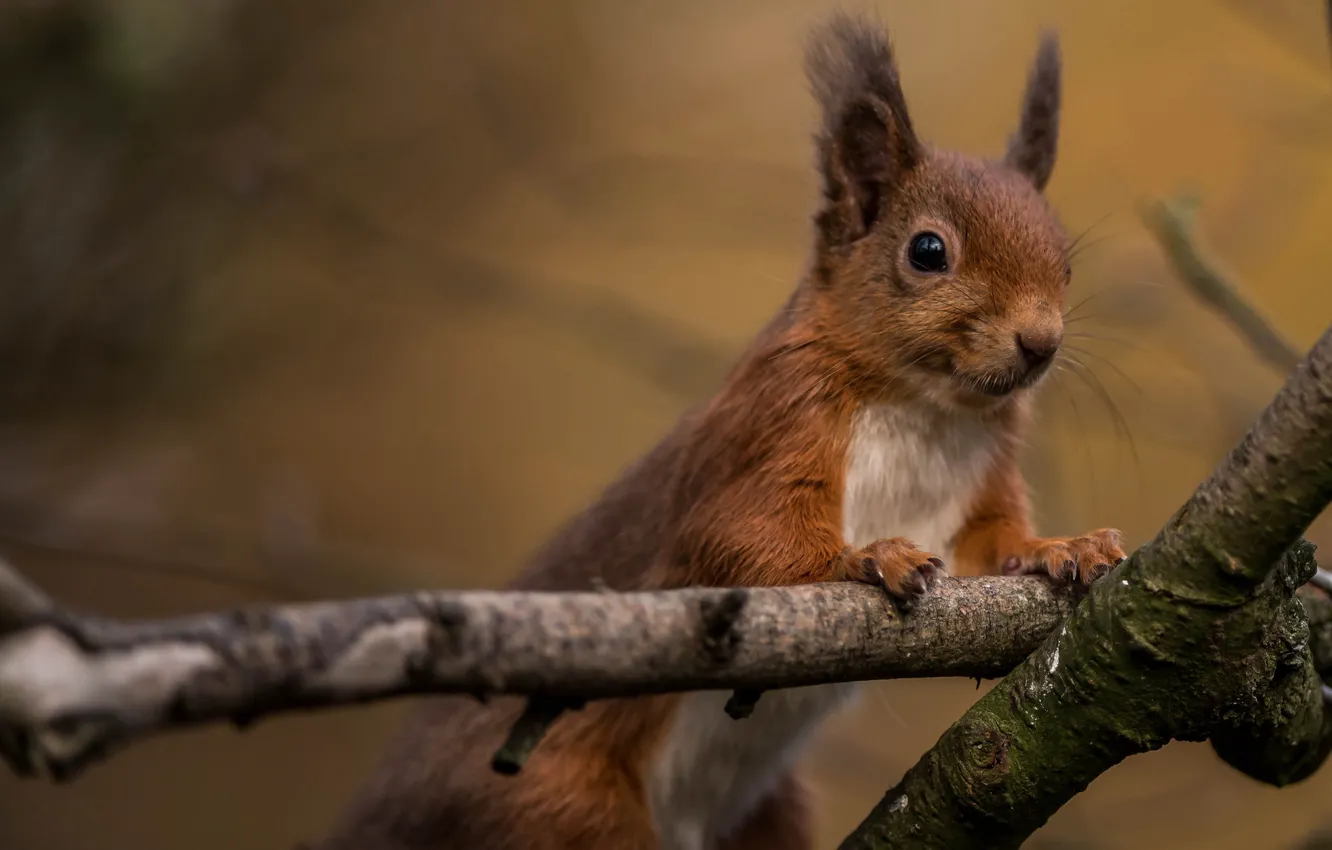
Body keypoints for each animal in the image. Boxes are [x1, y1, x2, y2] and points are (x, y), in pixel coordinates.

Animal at [311, 11, 1124, 850]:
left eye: (1063, 260)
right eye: (927, 251)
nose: (1040, 343)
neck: (929, 409)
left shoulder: (981, 484)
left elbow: (995, 544)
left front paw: (1063, 546)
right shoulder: (771, 429)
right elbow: (737, 538)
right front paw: (866, 558)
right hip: (551, 806)